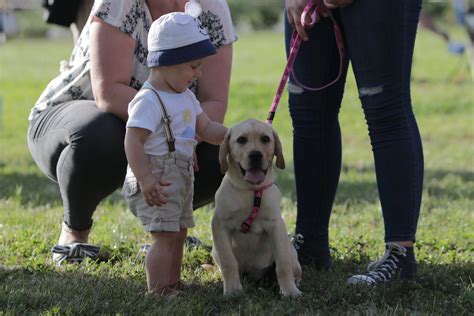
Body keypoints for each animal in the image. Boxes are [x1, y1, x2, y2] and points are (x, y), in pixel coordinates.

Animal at [213, 118, 302, 296]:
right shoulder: (219, 224)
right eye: (241, 140)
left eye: (265, 139)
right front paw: (232, 290)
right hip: (214, 251)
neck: (250, 192)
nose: (255, 155)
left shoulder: (276, 226)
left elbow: (283, 265)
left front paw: (290, 291)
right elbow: (228, 262)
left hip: (290, 249)